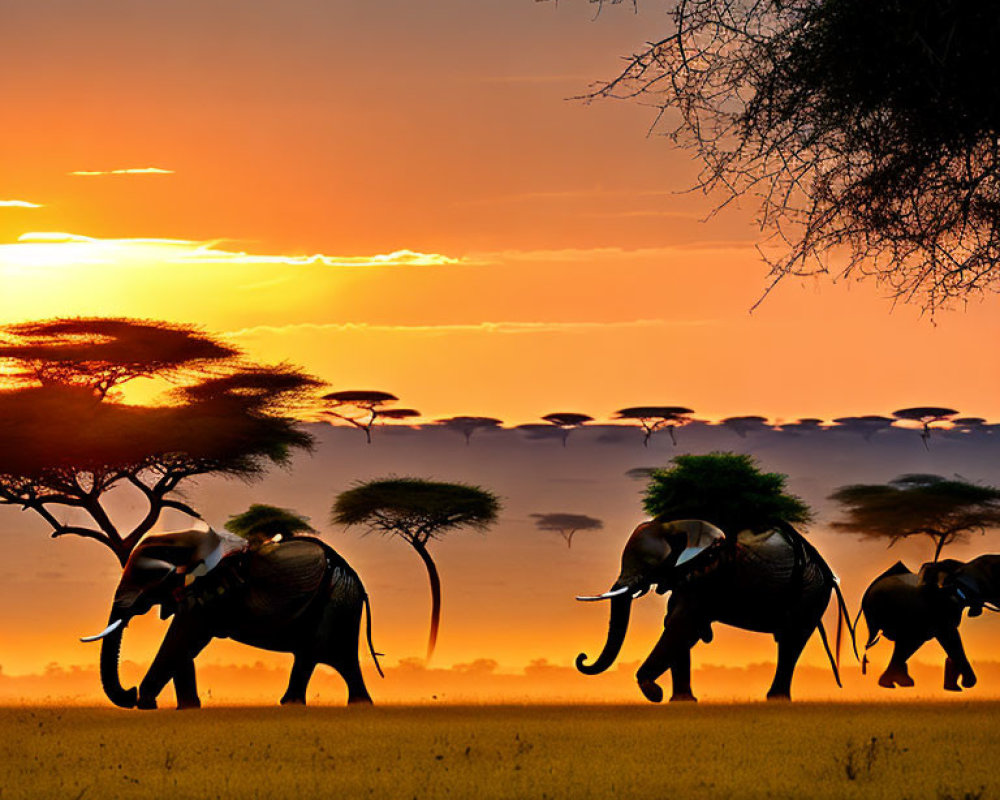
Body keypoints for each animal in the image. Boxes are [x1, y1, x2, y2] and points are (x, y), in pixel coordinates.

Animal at [80, 528, 378, 708]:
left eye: (148, 578)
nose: (129, 692)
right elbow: (183, 645)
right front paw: (188, 708)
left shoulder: (207, 593)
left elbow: (181, 638)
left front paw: (146, 703)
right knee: (318, 658)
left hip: (337, 603)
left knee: (330, 656)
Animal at [576, 520, 848, 700]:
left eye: (646, 565)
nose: (582, 657)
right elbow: (679, 627)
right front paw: (681, 702)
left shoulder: (709, 574)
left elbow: (682, 625)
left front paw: (653, 692)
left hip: (809, 592)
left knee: (792, 640)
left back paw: (776, 699)